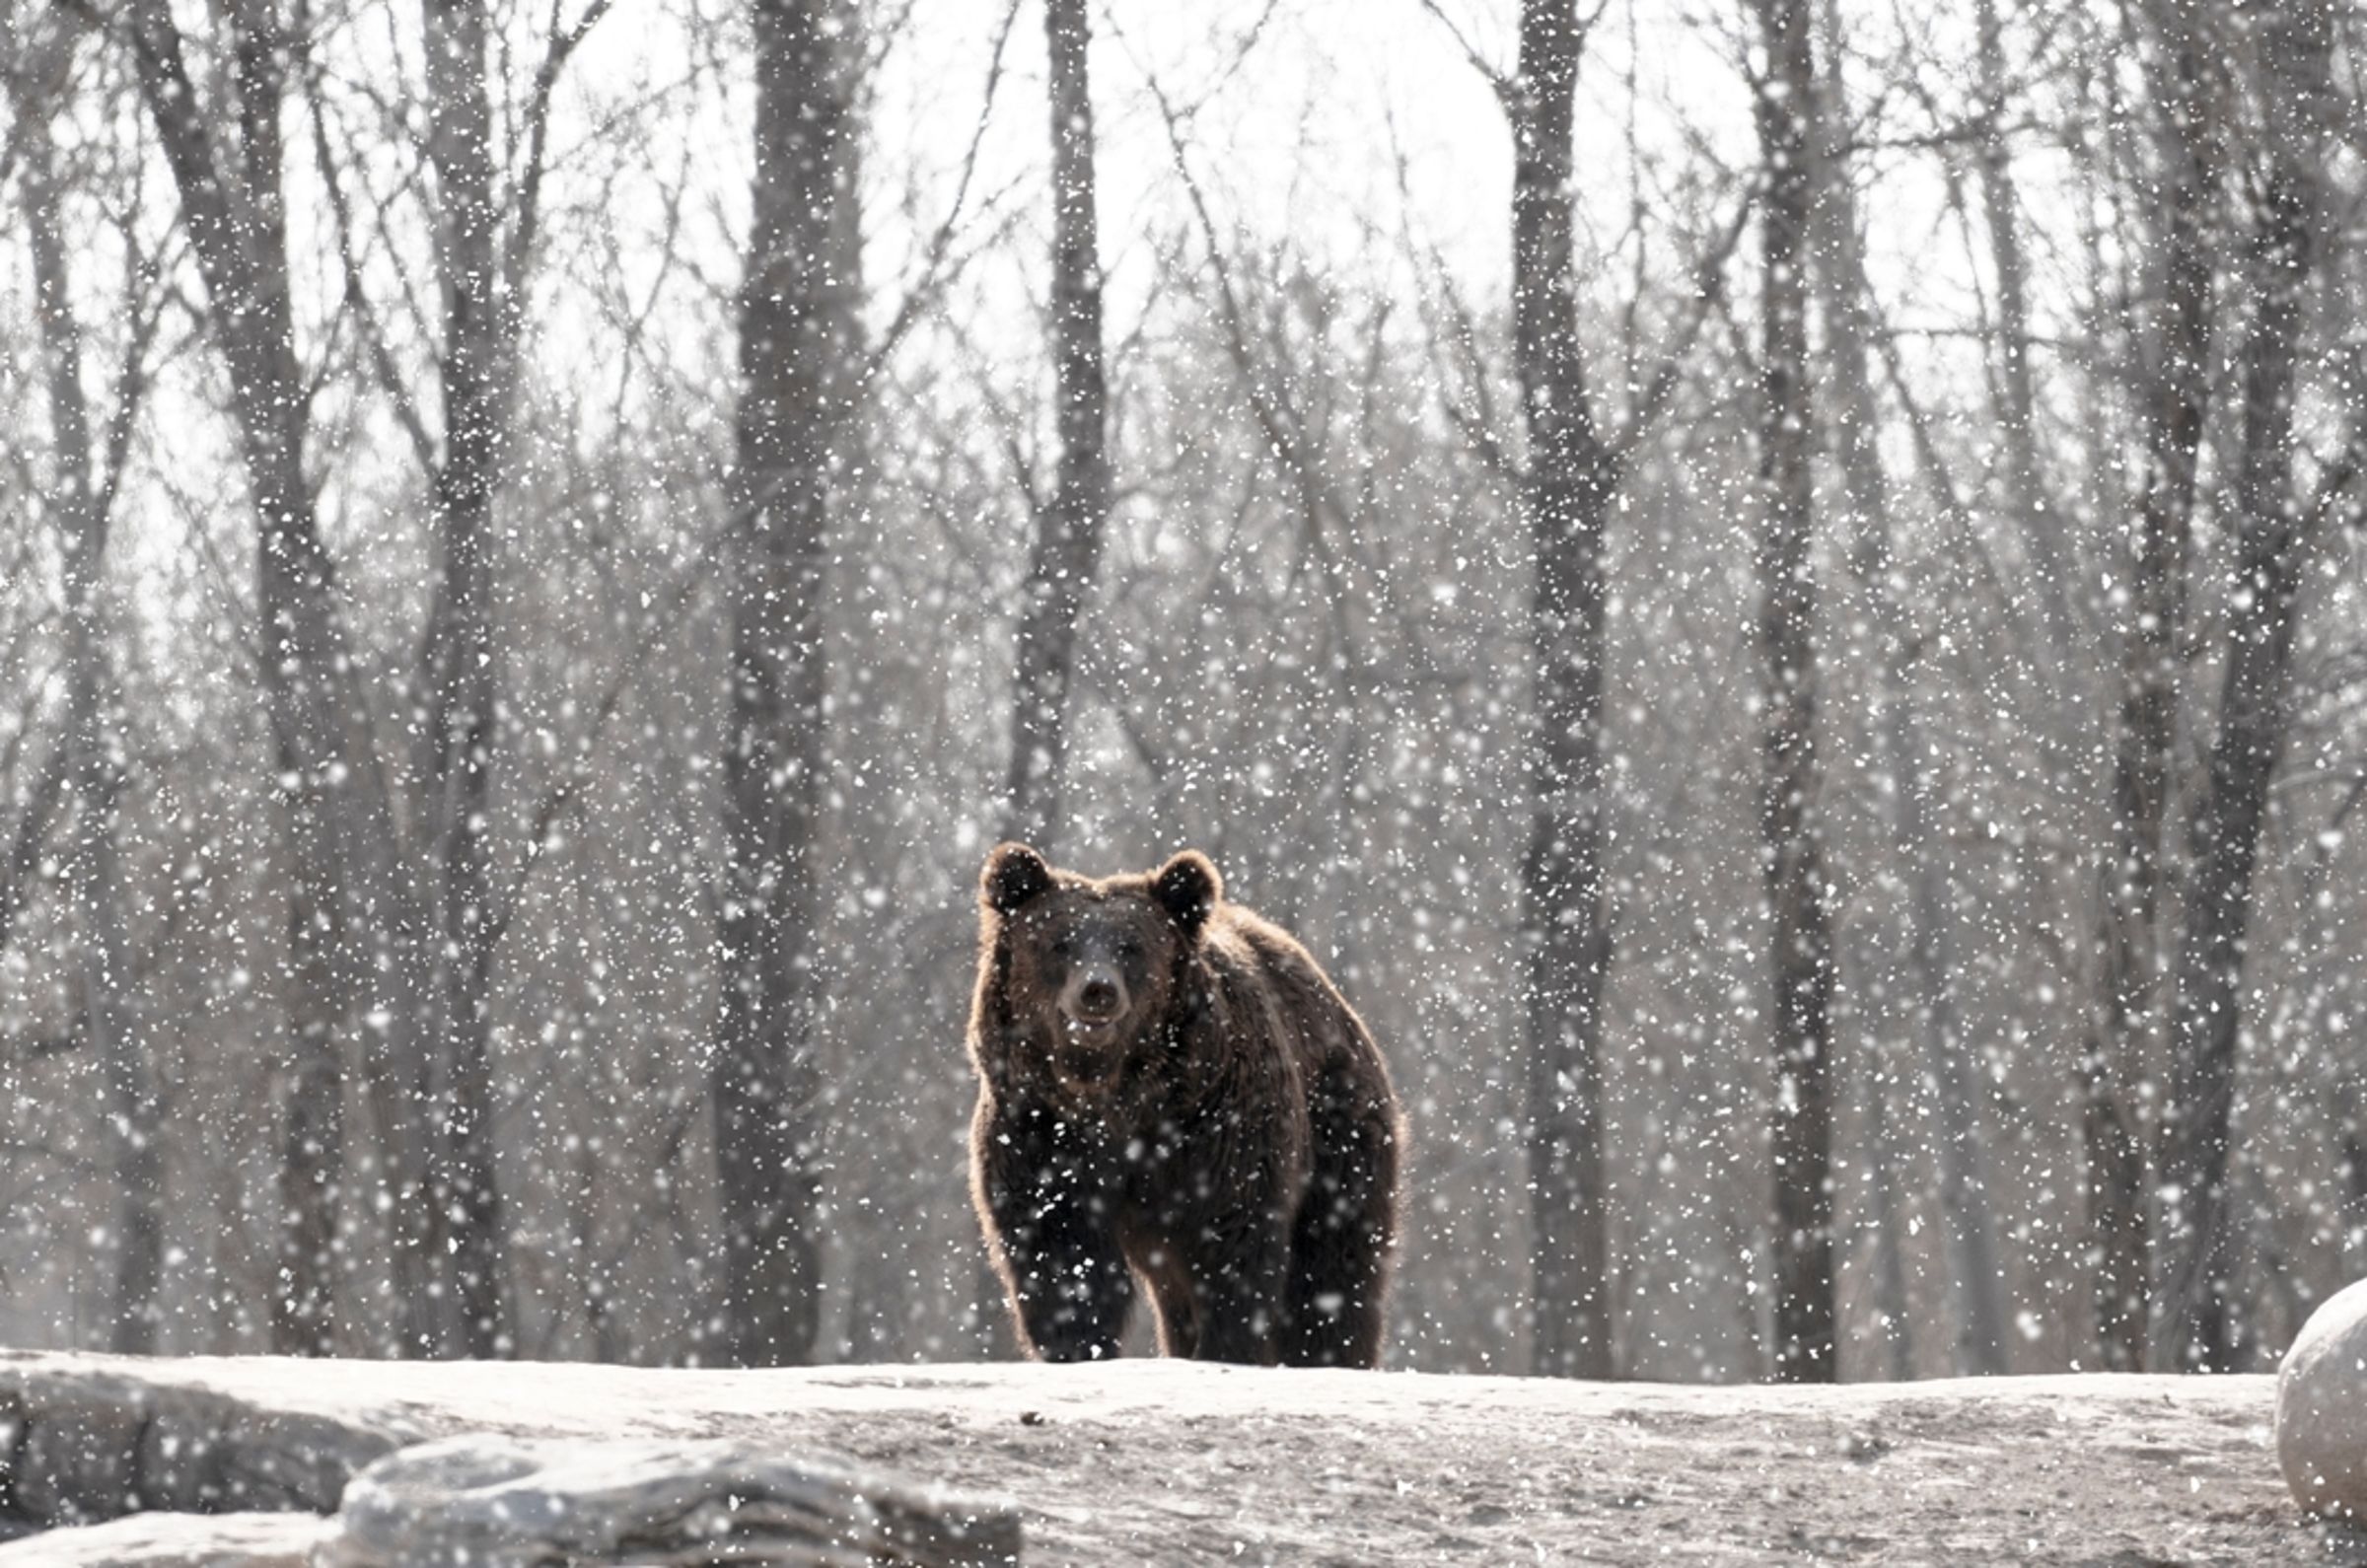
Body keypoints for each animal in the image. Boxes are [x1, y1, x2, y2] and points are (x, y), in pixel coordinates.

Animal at [966, 842, 1403, 1368]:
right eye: (1059, 943)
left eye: (1132, 946)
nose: (1097, 991)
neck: (1118, 1098)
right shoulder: (1039, 1129)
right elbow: (1061, 1249)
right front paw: (1079, 1347)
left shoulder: (1218, 1127)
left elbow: (1233, 1244)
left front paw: (1224, 1350)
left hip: (1340, 1133)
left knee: (1332, 1267)